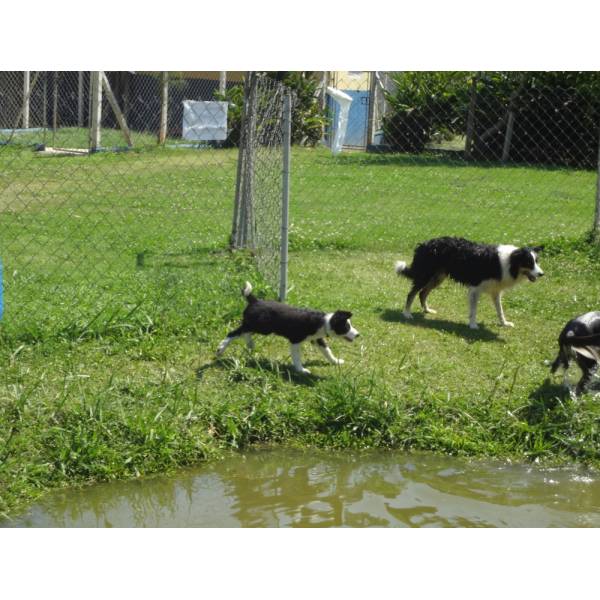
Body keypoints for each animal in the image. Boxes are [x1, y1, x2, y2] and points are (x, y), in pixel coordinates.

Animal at [216, 282, 358, 376]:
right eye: (346, 327)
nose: (358, 335)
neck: (323, 322)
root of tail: (255, 301)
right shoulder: (295, 340)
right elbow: (297, 357)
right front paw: (301, 370)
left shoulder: (317, 339)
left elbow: (327, 351)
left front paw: (335, 361)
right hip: (259, 326)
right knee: (233, 333)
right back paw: (221, 349)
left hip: (260, 327)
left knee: (245, 332)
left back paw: (250, 344)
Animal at [396, 236, 548, 328]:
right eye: (529, 263)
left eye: (537, 261)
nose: (541, 274)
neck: (509, 262)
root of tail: (425, 243)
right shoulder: (475, 288)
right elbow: (474, 310)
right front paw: (473, 325)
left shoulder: (496, 291)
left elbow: (500, 310)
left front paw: (504, 323)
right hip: (425, 275)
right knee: (412, 293)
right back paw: (407, 313)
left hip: (438, 277)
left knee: (423, 293)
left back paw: (427, 310)